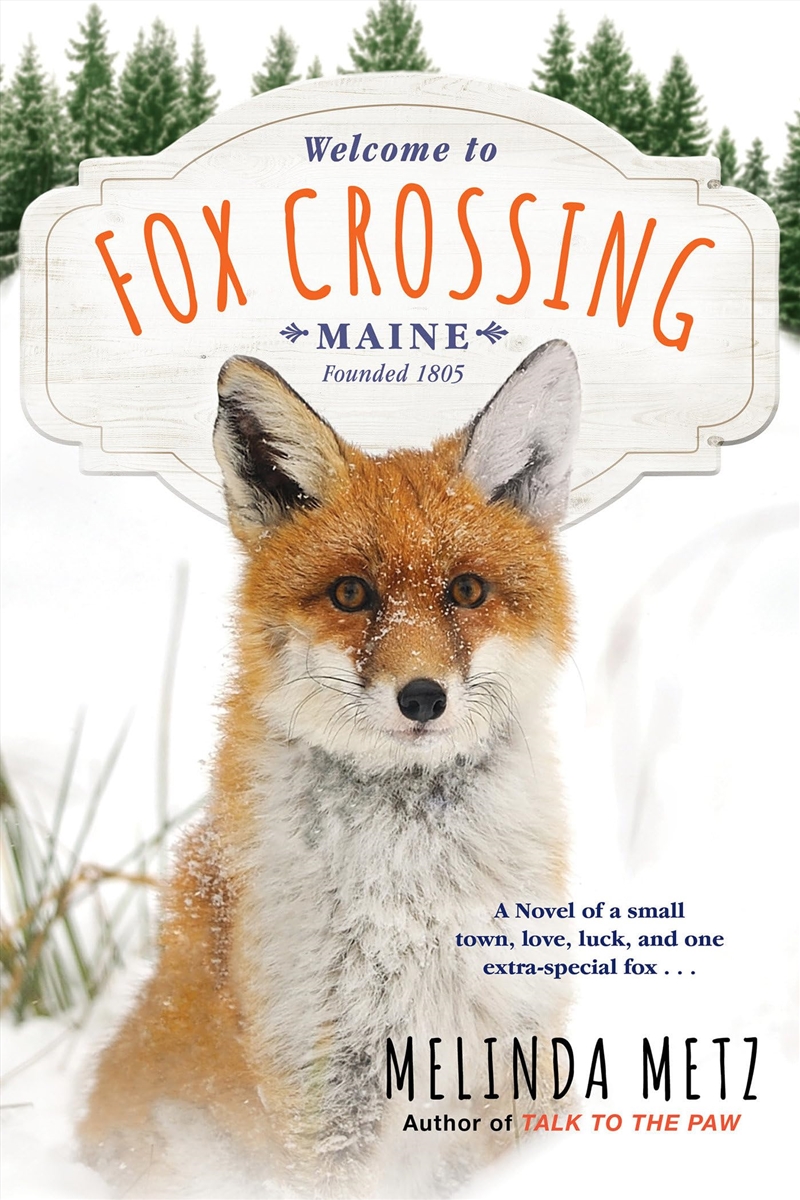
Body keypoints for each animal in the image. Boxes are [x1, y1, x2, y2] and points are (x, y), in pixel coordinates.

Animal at [79, 339, 582, 1199]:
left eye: (467, 590)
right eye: (352, 593)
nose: (423, 698)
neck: (418, 909)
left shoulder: (508, 1044)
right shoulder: (321, 1078)